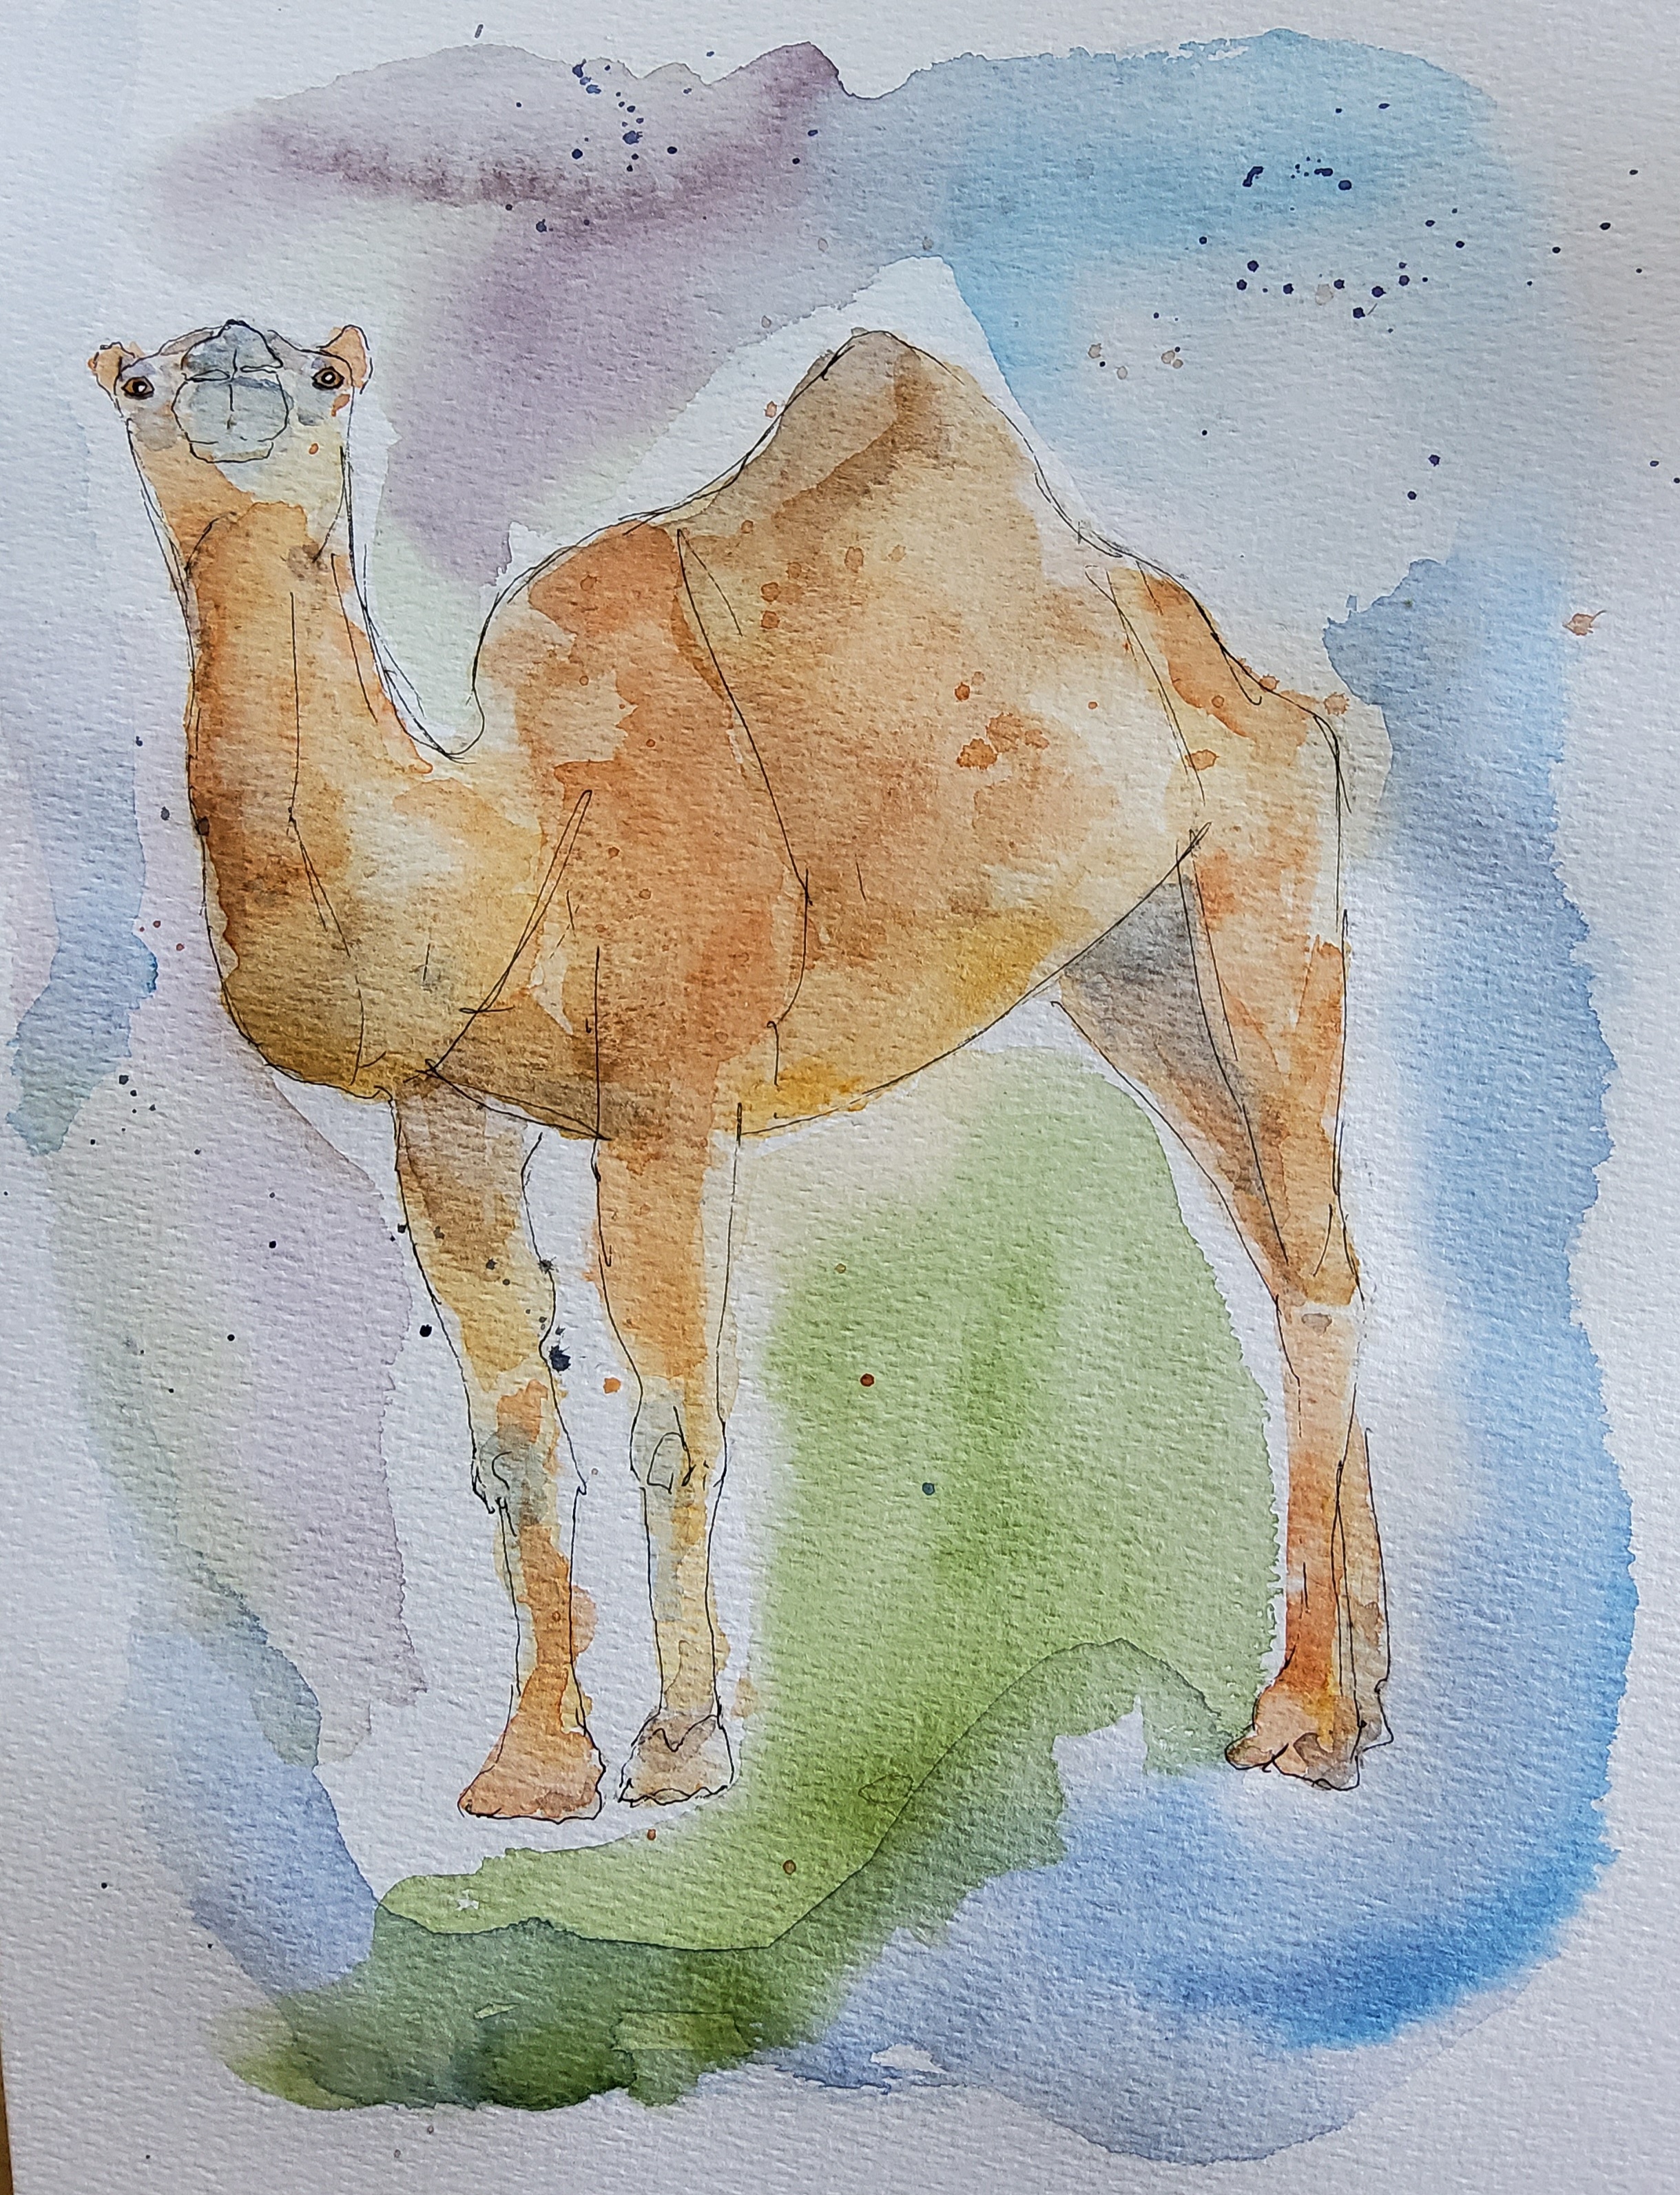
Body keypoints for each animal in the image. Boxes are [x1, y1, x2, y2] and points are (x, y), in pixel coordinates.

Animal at [91, 317, 1389, 1817]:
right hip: (1128, 966)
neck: (521, 837)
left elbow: (672, 1417)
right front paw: (530, 1770)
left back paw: (1297, 1721)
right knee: (1292, 1249)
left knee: (1312, 1263)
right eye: (139, 381)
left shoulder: (670, 1097)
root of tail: (1235, 666)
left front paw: (678, 1749)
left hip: (1261, 873)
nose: (233, 366)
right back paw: (1365, 1706)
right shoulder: (446, 1112)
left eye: (325, 377)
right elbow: (514, 1435)